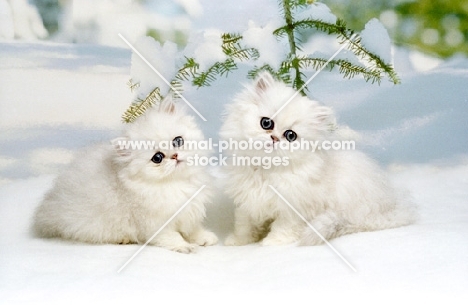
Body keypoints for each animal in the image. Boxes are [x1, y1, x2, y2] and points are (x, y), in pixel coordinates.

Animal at [33, 97, 218, 252]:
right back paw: (123, 239)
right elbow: (173, 237)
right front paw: (184, 246)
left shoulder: (189, 212)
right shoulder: (156, 223)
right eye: (157, 158)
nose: (175, 156)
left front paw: (204, 238)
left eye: (178, 141)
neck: (176, 183)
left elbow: (193, 230)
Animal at [220, 71, 416, 245]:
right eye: (266, 123)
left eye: (290, 135)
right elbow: (244, 225)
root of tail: (388, 209)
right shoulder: (246, 203)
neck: (265, 170)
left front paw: (273, 242)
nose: (274, 138)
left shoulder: (294, 209)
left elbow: (283, 227)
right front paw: (238, 242)